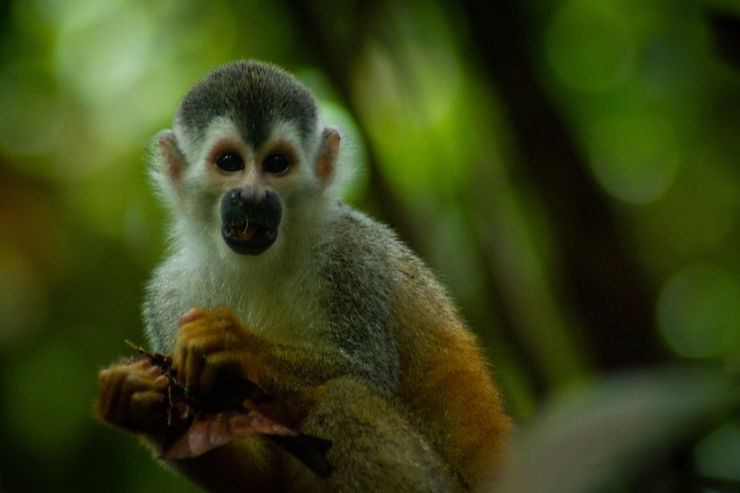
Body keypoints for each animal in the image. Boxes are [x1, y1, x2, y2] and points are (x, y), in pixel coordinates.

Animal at [97, 59, 508, 490]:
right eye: (229, 163)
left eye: (277, 164)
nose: (253, 197)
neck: (261, 261)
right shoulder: (168, 295)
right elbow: (246, 462)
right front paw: (137, 403)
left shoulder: (350, 252)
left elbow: (367, 371)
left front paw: (237, 344)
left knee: (345, 397)